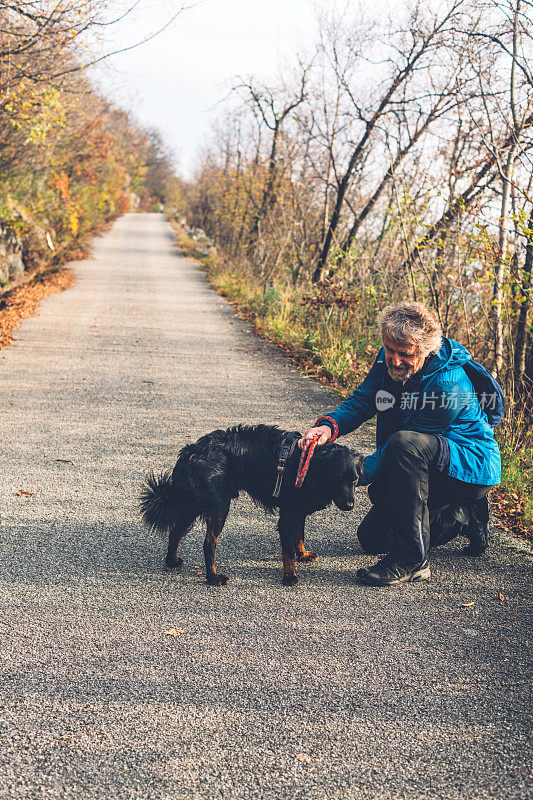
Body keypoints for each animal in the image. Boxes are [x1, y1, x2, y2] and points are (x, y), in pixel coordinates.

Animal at [137, 424, 364, 588]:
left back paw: (172, 560)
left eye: (354, 479)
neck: (310, 464)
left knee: (175, 531)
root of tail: (191, 451)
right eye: (337, 479)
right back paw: (213, 578)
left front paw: (303, 554)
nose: (350, 505)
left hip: (193, 503)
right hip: (219, 507)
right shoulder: (288, 515)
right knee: (208, 544)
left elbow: (299, 536)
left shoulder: (299, 511)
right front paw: (289, 575)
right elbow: (288, 550)